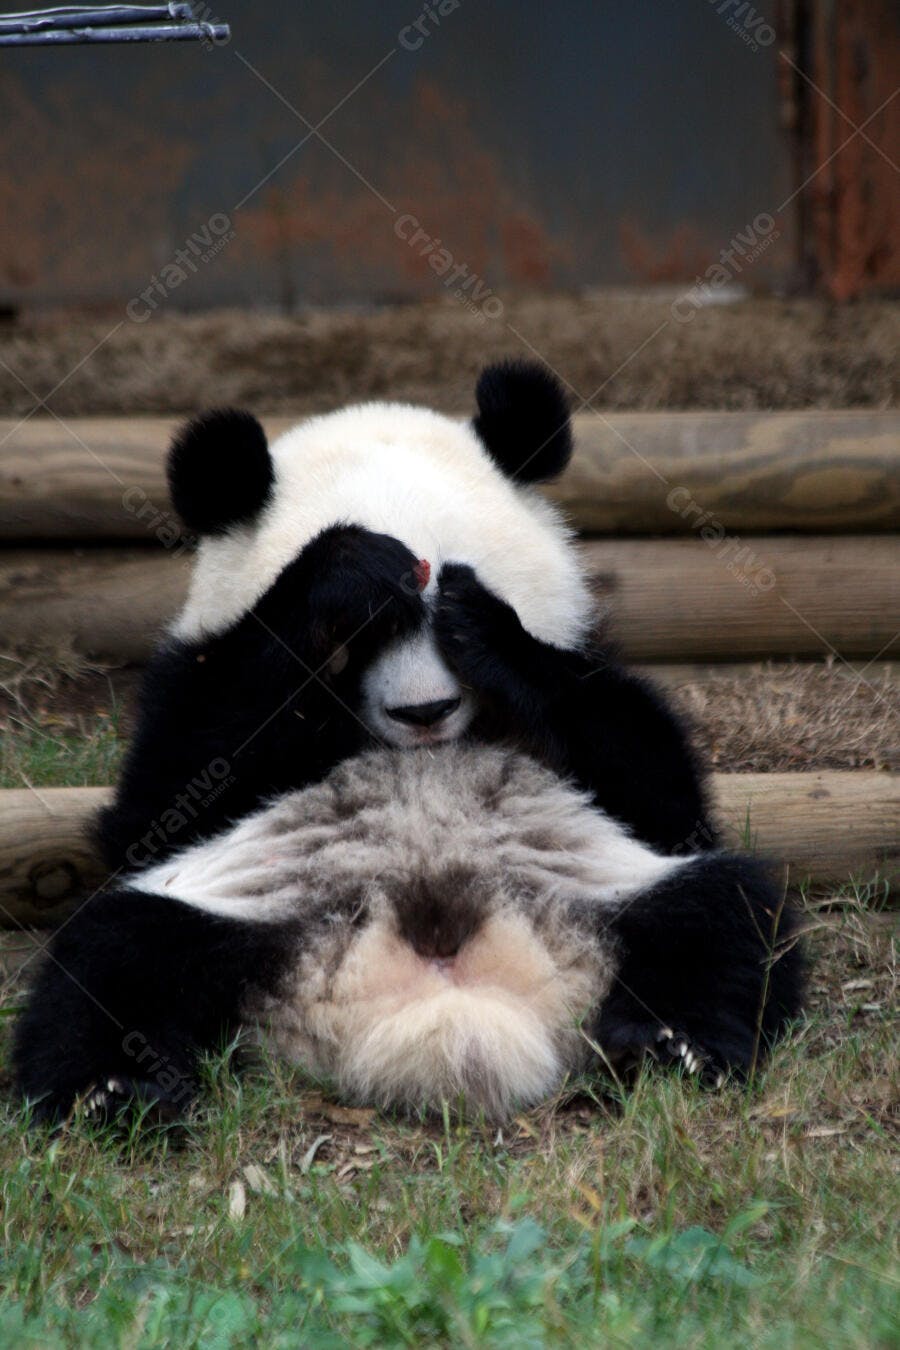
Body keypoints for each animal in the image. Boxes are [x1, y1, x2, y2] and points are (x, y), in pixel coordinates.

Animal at [13, 361, 803, 1124]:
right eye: (362, 637)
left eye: (454, 595)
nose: (425, 712)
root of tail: (441, 998)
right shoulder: (191, 687)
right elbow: (158, 806)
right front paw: (339, 574)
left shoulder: (591, 675)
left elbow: (664, 795)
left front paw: (489, 631)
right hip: (242, 905)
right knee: (113, 956)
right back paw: (114, 1092)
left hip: (606, 885)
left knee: (724, 915)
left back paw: (672, 1048)